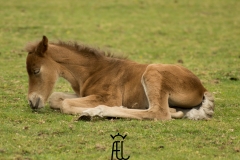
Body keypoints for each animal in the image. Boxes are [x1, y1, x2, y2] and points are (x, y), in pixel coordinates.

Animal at [25, 35, 214, 120]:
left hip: (152, 72)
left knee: (158, 112)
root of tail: (202, 88)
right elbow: (56, 98)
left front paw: (88, 111)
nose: (32, 102)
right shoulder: (83, 93)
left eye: (36, 70)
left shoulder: (108, 97)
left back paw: (95, 112)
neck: (93, 71)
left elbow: (65, 103)